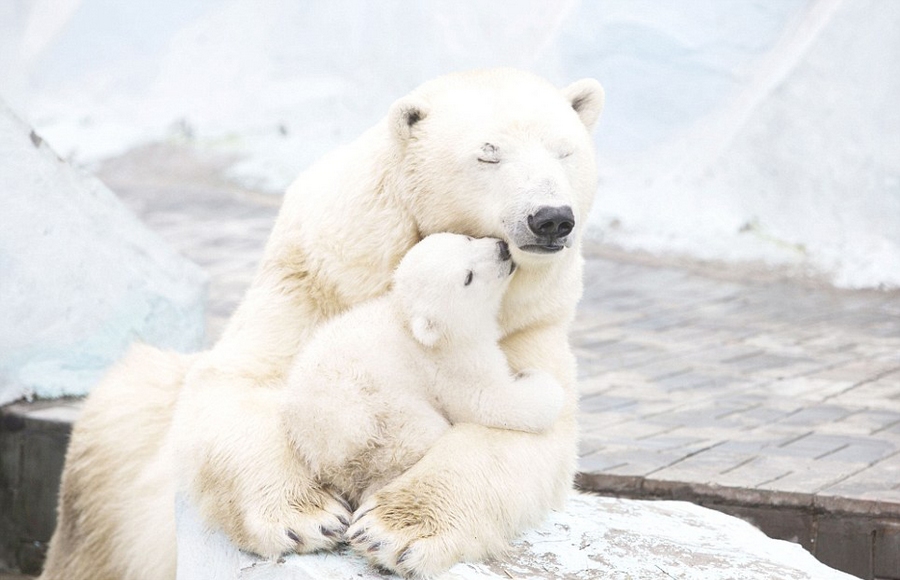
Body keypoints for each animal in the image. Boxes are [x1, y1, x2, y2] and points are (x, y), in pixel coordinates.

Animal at [42, 69, 604, 580]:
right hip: (116, 468)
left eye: (564, 152)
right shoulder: (313, 279)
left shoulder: (527, 322)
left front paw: (392, 529)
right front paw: (307, 517)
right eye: (488, 154)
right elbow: (247, 382)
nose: (550, 218)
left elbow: (523, 429)